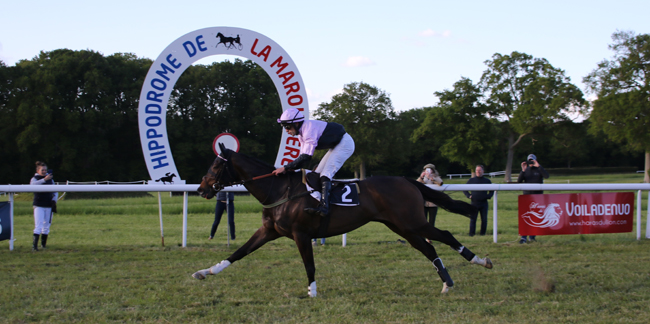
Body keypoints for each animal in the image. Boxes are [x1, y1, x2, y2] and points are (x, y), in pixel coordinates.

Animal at [192, 146, 492, 298]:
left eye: (216, 166)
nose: (201, 188)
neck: (279, 191)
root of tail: (408, 180)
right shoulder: (268, 231)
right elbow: (238, 252)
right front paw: (205, 272)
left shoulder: (301, 234)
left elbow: (309, 264)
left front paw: (312, 292)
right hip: (402, 227)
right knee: (429, 248)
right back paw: (446, 282)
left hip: (413, 223)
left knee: (445, 234)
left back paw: (480, 261)